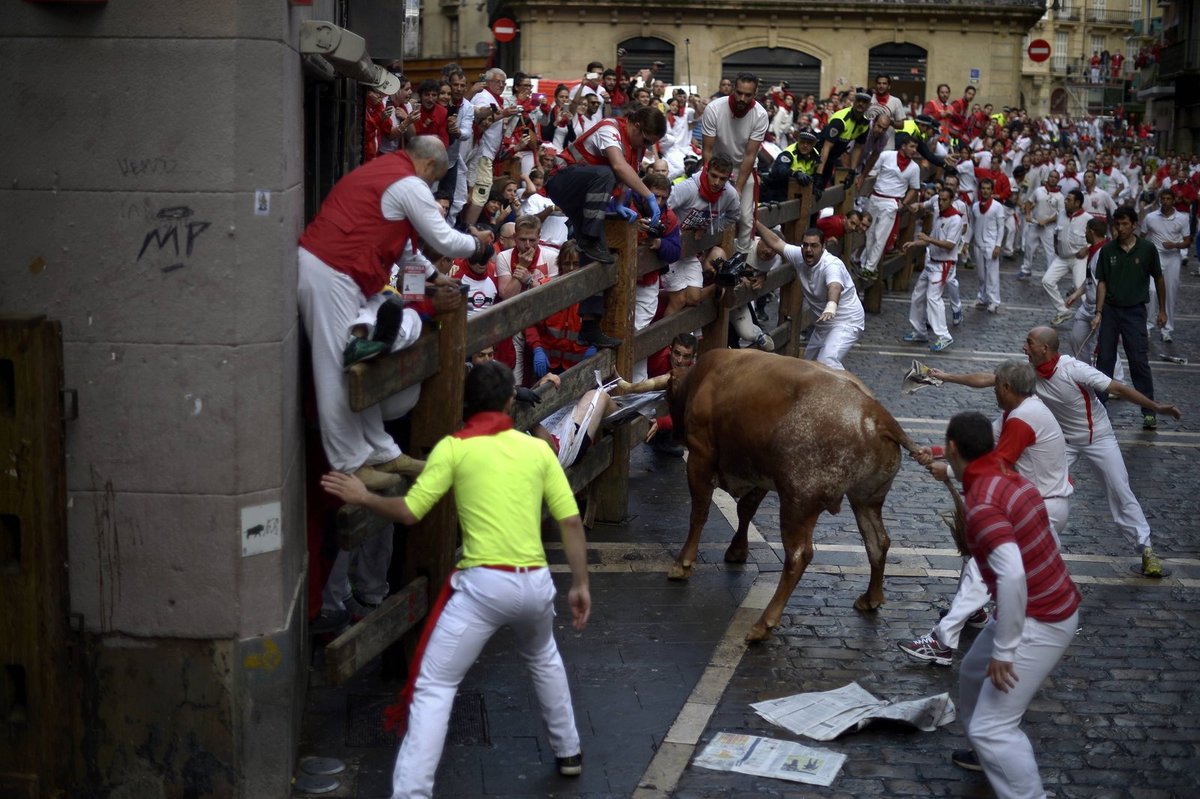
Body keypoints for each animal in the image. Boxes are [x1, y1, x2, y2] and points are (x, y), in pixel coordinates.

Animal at [667, 347, 945, 643]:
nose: (673, 433)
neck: (705, 377)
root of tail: (877, 414)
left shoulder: (700, 456)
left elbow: (699, 513)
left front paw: (683, 564)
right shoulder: (762, 474)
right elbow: (746, 509)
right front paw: (737, 549)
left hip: (798, 503)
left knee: (799, 555)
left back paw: (763, 624)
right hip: (866, 499)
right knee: (878, 541)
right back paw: (870, 598)